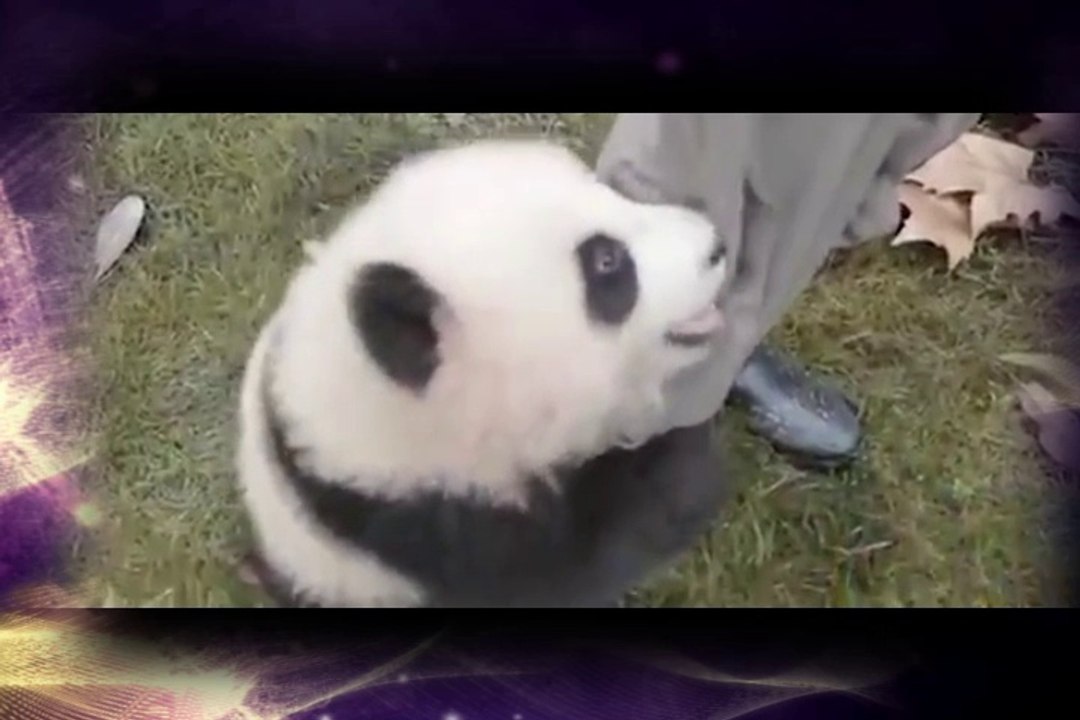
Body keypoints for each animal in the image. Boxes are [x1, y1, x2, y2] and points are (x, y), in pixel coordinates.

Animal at [236, 139, 730, 607]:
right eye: (606, 262)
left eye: (612, 193)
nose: (715, 246)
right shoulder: (437, 525)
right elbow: (589, 563)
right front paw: (684, 457)